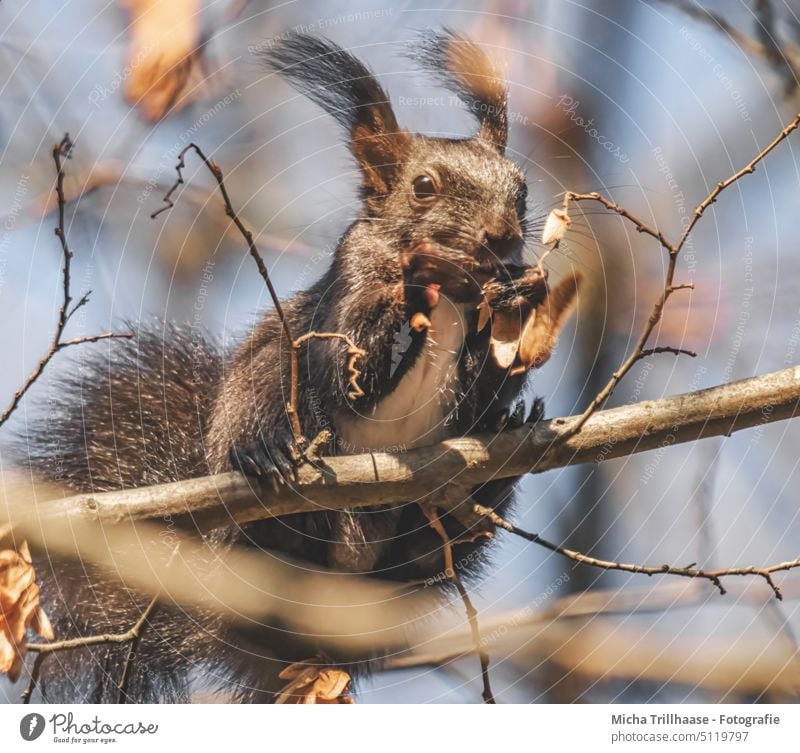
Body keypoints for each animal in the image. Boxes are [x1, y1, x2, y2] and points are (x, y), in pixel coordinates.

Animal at [15, 27, 580, 700]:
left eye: (521, 190)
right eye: (423, 186)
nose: (502, 237)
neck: (456, 295)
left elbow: (475, 380)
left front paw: (519, 302)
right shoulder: (346, 291)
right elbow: (345, 370)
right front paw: (413, 290)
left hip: (415, 549)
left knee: (429, 552)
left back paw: (496, 454)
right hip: (263, 406)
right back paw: (263, 455)